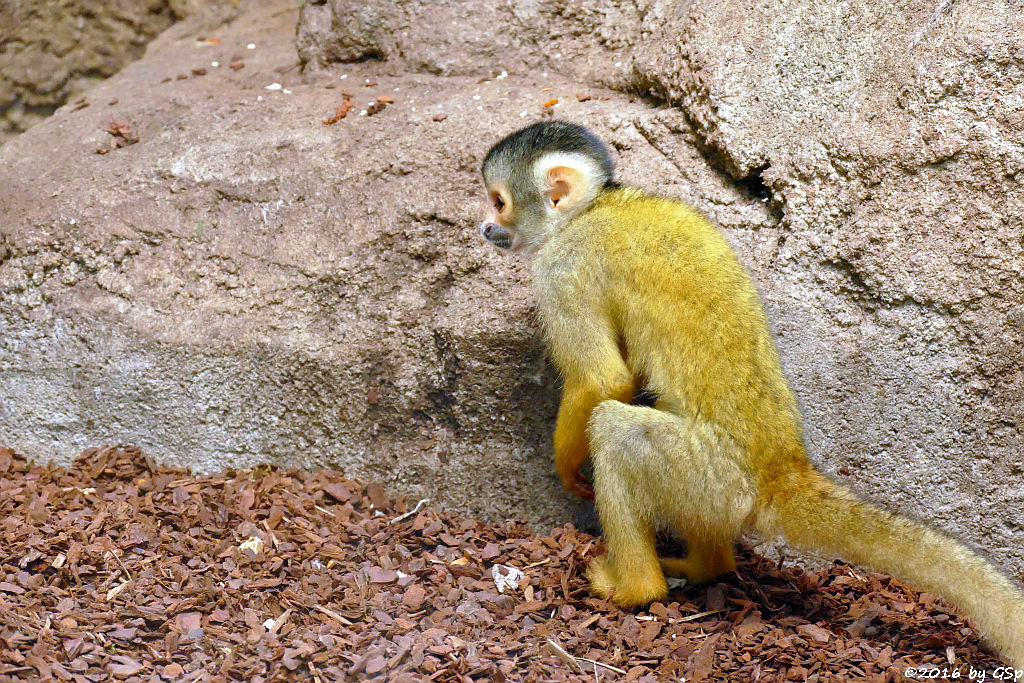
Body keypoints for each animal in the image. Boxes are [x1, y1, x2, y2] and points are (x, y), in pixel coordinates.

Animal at [479, 121, 1024, 667]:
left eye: (499, 202)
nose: (485, 228)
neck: (591, 209)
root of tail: (782, 467)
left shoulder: (562, 269)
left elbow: (603, 380)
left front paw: (568, 467)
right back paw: (707, 566)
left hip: (710, 475)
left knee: (616, 431)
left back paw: (635, 588)